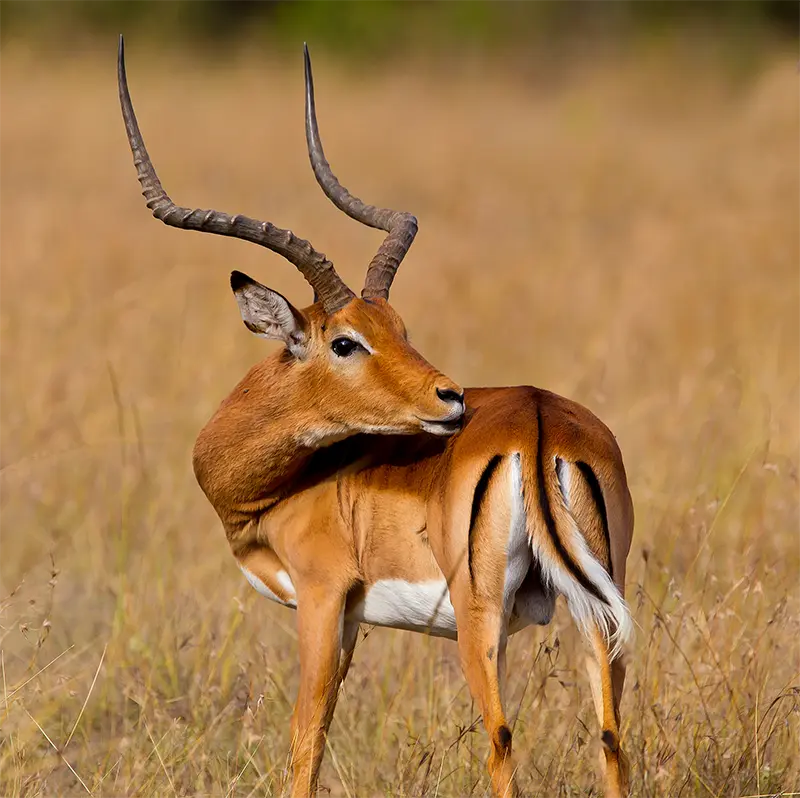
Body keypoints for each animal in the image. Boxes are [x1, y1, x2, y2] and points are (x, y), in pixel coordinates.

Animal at [118, 36, 634, 798]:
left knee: (501, 738)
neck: (284, 485)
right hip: (601, 609)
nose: (451, 399)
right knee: (610, 736)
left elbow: (307, 737)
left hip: (482, 618)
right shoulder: (354, 621)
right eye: (353, 338)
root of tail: (540, 423)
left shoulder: (321, 597)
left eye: (388, 331)